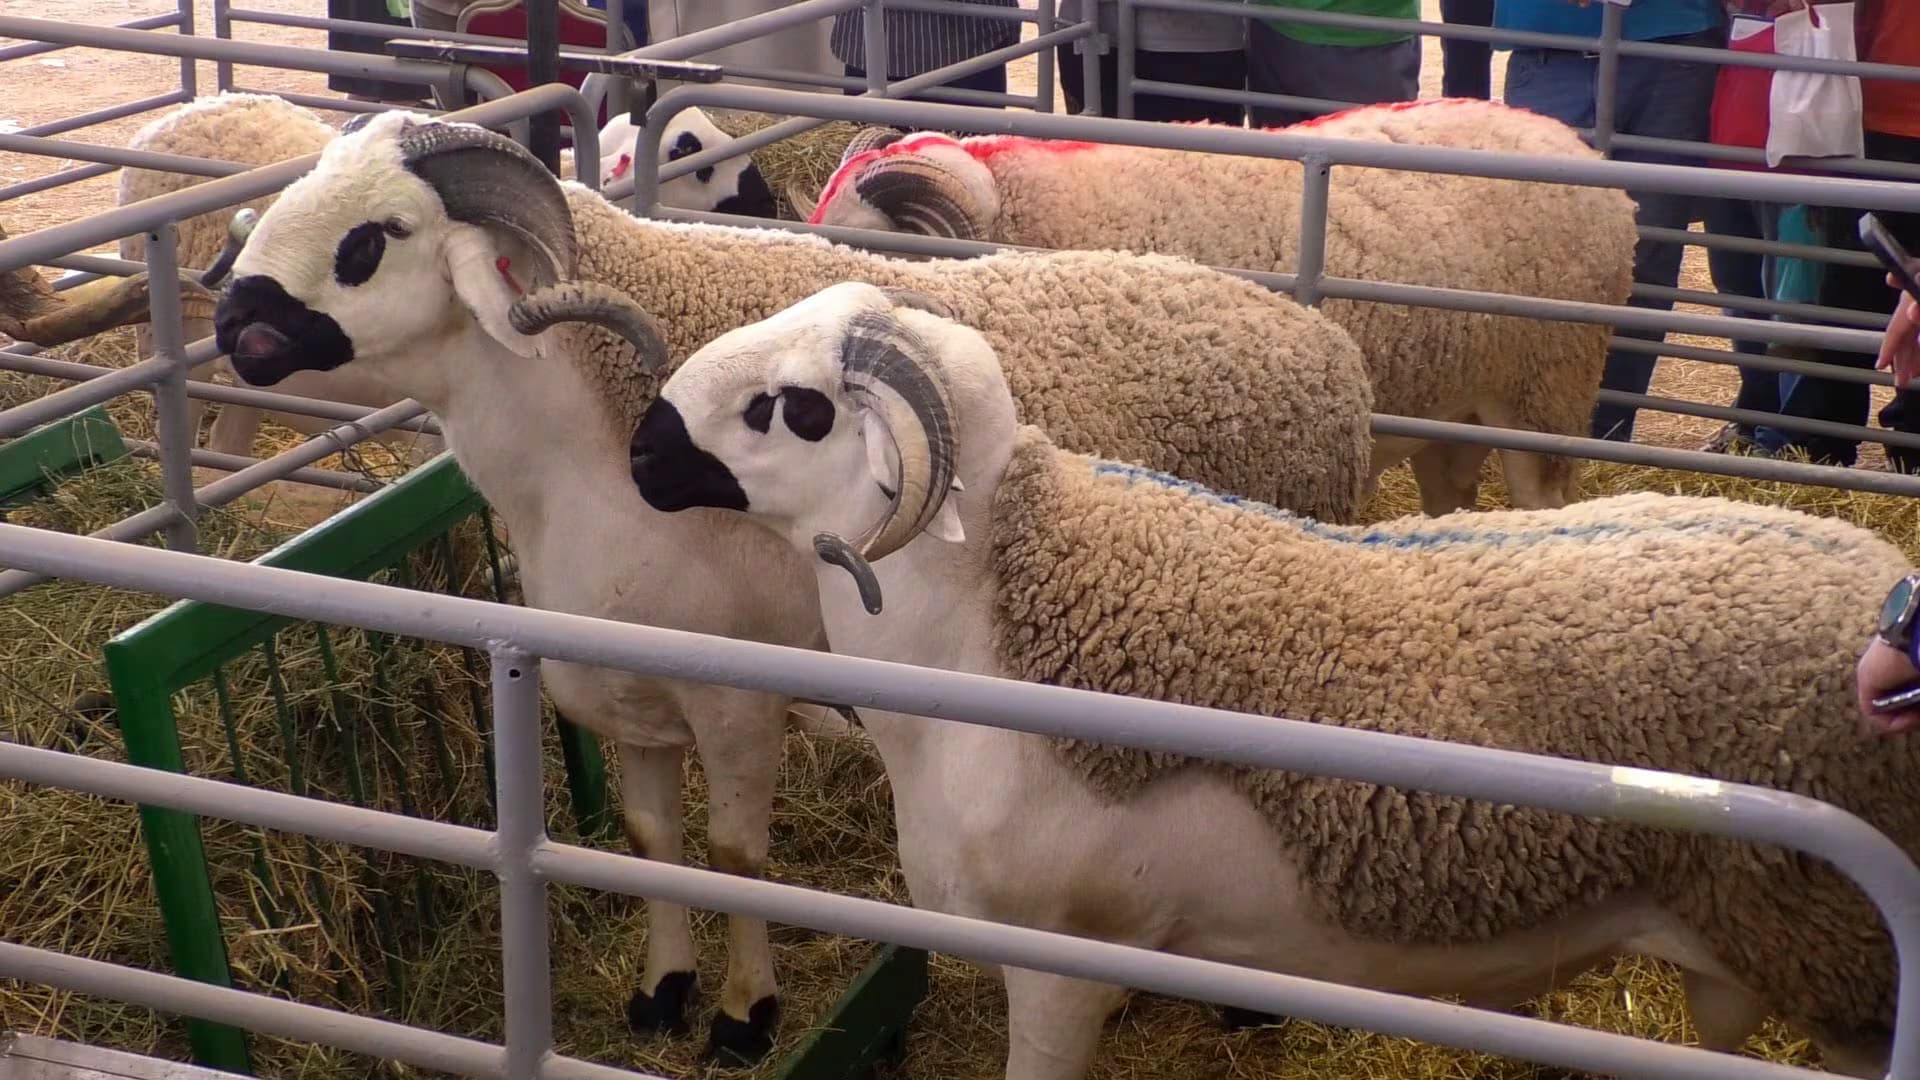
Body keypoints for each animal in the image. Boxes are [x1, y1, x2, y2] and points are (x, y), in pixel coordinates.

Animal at [207, 110, 1375, 1062]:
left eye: (376, 237)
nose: (231, 321)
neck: (568, 449)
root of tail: (1321, 340)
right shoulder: (629, 688)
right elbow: (653, 845)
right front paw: (662, 991)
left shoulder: (735, 696)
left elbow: (729, 855)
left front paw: (743, 1014)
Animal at [628, 278, 1920, 1080]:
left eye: (792, 411)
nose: (642, 452)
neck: (987, 627)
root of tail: (1874, 568)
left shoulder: (1062, 959)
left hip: (1847, 957)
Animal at [793, 98, 1643, 516]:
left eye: (867, 241)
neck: (1049, 215)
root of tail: (1569, 142)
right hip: (1454, 404)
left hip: (1548, 389)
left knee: (1538, 494)